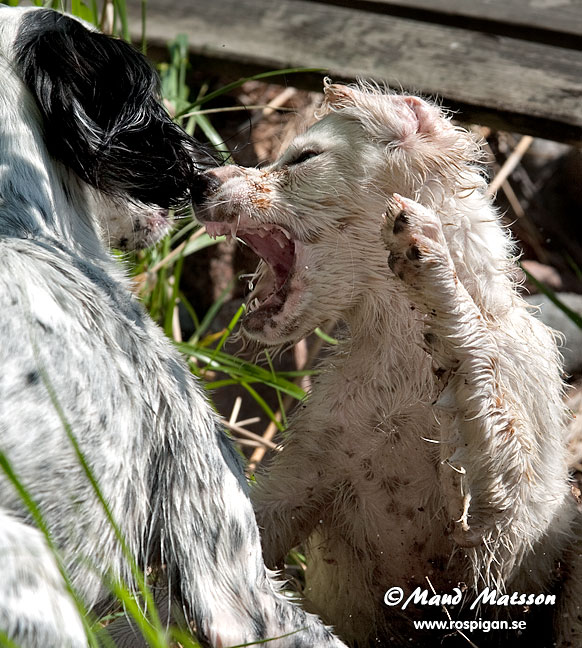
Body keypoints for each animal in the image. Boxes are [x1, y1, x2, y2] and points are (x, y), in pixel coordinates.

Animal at [195, 81, 582, 647]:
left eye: (304, 157)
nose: (197, 182)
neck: (404, 355)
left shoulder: (509, 529)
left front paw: (431, 260)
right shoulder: (303, 476)